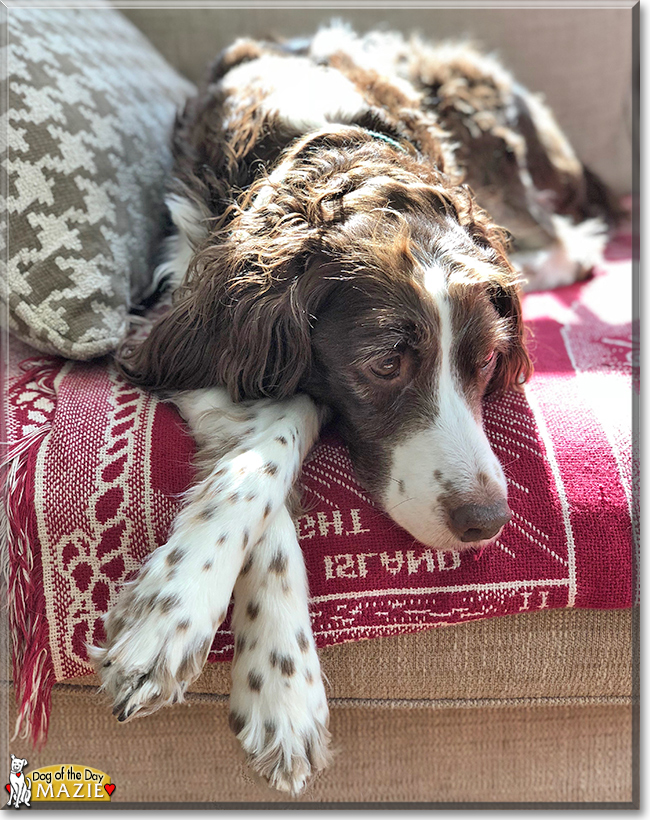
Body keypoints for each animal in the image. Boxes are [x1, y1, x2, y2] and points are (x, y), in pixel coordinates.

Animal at [90, 24, 612, 796]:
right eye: (384, 364)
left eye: (488, 361)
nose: (487, 523)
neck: (324, 141)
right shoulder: (172, 321)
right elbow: (276, 433)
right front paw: (202, 632)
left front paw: (268, 680)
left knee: (570, 248)